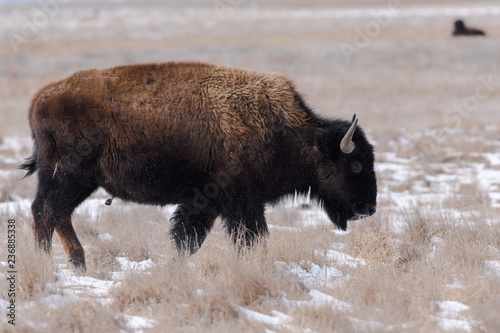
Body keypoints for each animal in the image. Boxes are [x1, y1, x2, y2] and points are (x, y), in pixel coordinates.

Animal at [21, 61, 376, 272]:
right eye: (356, 165)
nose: (370, 208)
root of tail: (41, 97)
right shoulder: (241, 203)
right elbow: (252, 238)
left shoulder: (206, 204)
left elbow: (187, 240)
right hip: (69, 176)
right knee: (47, 211)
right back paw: (51, 262)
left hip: (76, 181)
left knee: (55, 213)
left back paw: (73, 263)